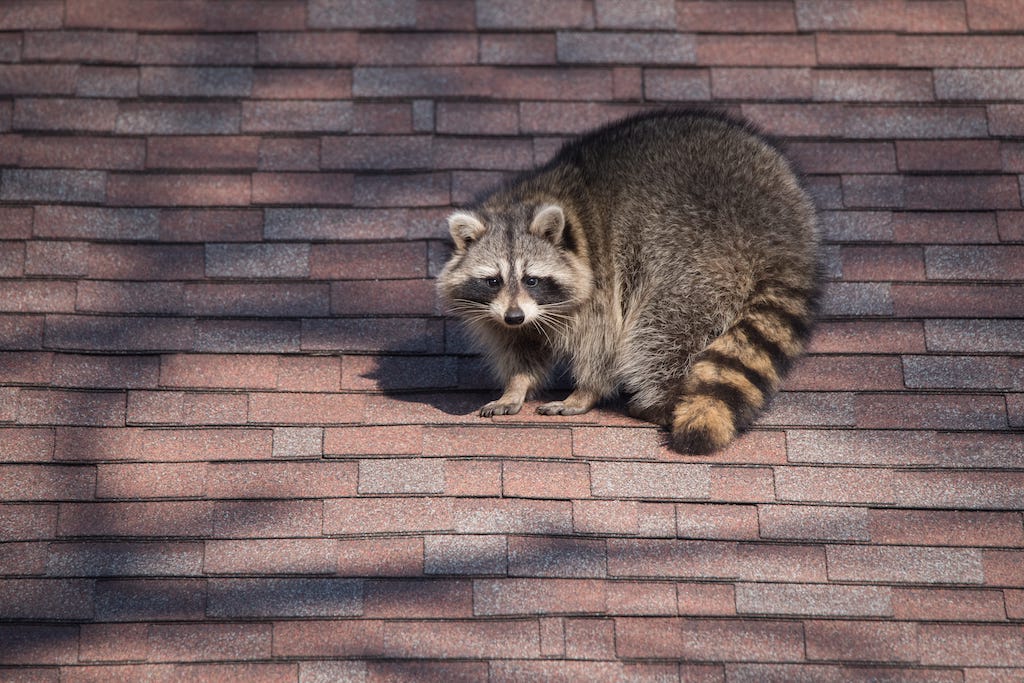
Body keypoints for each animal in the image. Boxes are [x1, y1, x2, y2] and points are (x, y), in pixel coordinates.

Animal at [437, 110, 819, 454]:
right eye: (493, 281)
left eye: (531, 279)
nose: (514, 316)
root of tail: (782, 238)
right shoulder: (505, 312)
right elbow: (522, 346)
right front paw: (516, 385)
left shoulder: (602, 278)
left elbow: (603, 340)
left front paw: (584, 392)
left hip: (695, 254)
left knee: (664, 330)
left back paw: (661, 398)